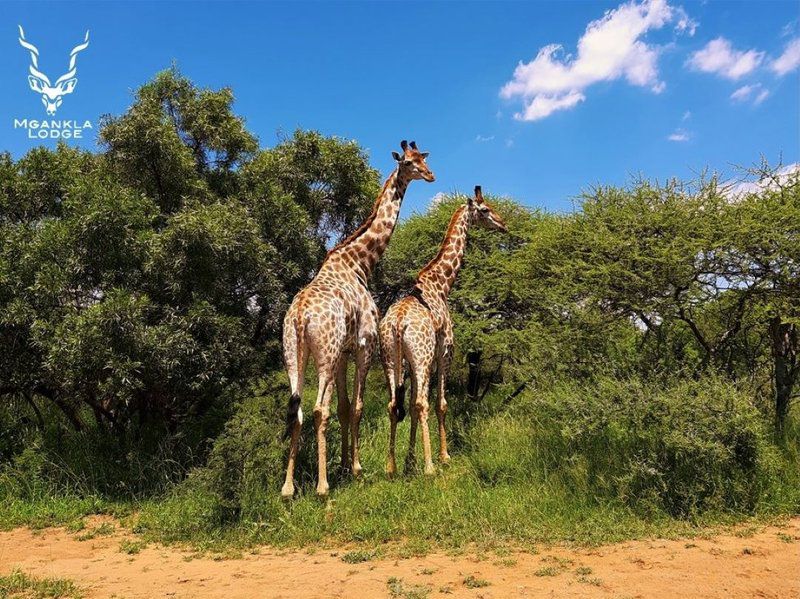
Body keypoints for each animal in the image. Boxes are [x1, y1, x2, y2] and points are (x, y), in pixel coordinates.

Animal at [280, 139, 432, 496]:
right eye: (408, 163)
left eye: (422, 158)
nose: (430, 174)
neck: (360, 262)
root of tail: (300, 316)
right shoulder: (364, 346)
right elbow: (357, 407)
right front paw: (357, 469)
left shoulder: (344, 353)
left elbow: (345, 407)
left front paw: (344, 465)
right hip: (323, 354)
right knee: (317, 409)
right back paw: (321, 488)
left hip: (295, 353)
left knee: (296, 409)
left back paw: (288, 488)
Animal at [380, 185, 506, 476]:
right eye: (485, 210)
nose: (503, 224)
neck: (441, 284)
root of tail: (397, 323)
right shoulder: (444, 352)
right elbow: (441, 404)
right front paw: (443, 456)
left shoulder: (411, 362)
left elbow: (410, 406)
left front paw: (409, 461)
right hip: (423, 357)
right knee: (422, 403)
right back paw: (430, 468)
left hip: (391, 358)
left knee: (395, 405)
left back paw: (391, 467)